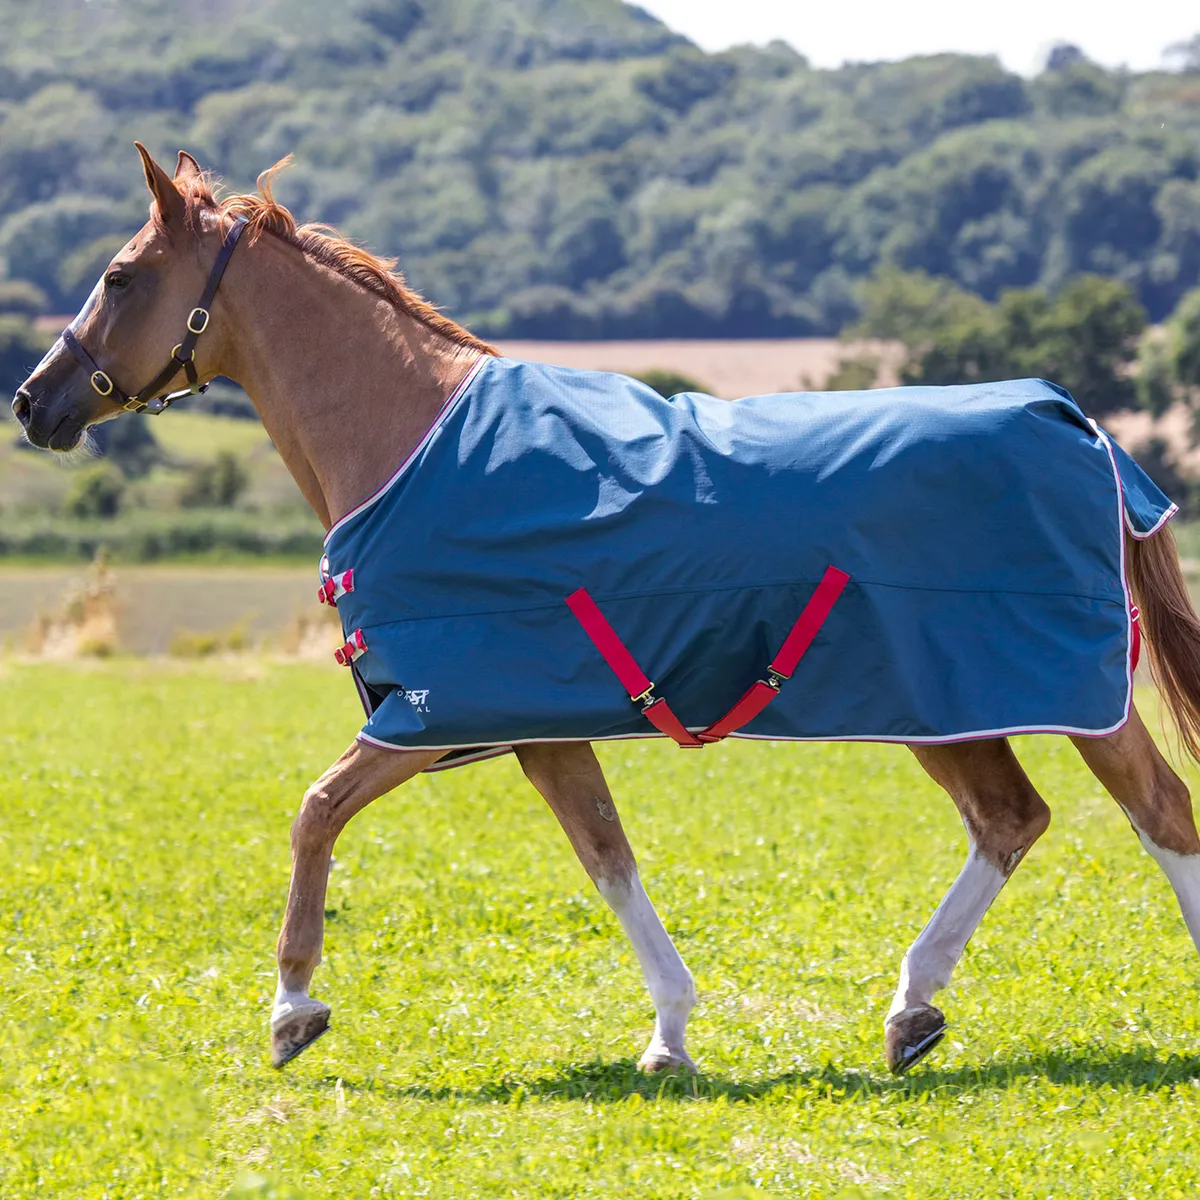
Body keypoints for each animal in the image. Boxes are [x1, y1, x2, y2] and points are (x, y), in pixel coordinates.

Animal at [14, 144, 1200, 1078]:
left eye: (120, 276)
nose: (33, 402)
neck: (416, 443)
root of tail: (1080, 424)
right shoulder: (537, 728)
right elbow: (607, 858)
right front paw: (671, 1034)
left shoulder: (432, 712)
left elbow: (315, 811)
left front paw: (291, 1010)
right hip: (939, 705)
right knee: (1012, 820)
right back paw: (911, 1012)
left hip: (1063, 695)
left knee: (1159, 811)